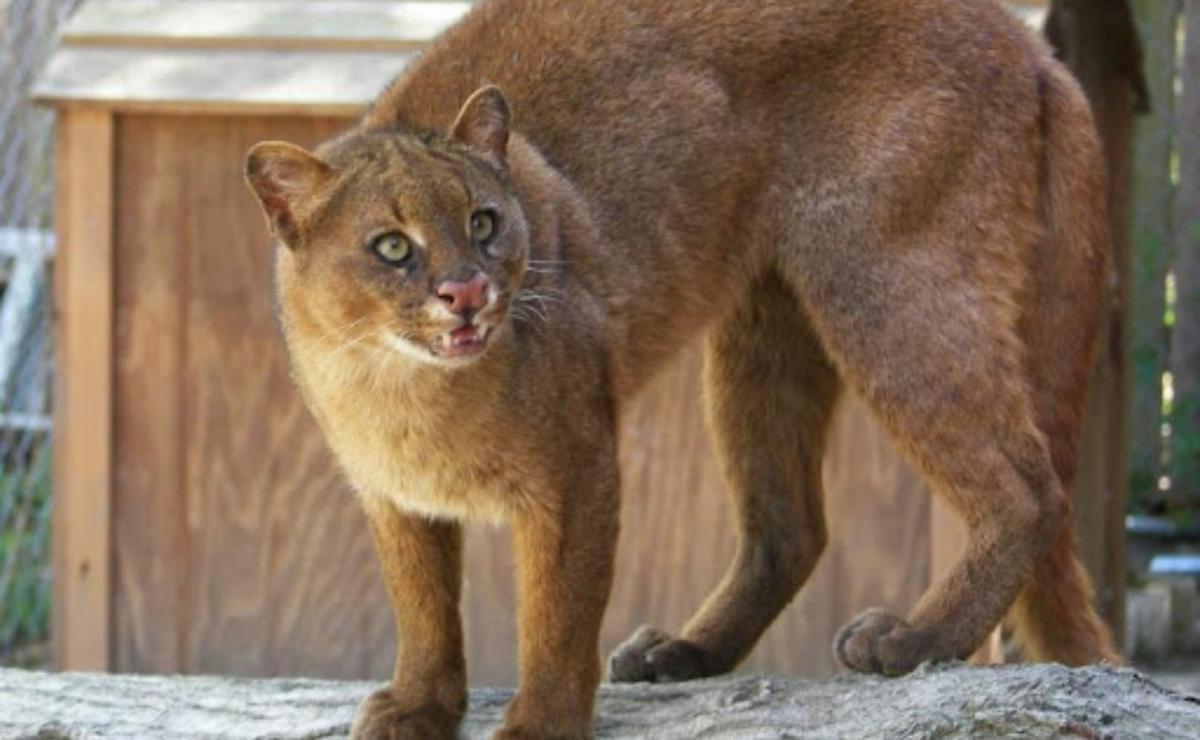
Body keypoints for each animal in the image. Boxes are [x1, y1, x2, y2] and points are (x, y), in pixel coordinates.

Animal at [243, 0, 1123, 734]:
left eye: (484, 222)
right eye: (392, 247)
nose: (466, 291)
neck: (402, 392)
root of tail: (1021, 36)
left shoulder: (576, 468)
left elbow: (557, 613)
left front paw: (540, 723)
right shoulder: (394, 496)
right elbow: (423, 608)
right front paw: (421, 706)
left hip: (881, 283)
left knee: (1029, 485)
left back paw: (914, 639)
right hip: (763, 328)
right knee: (792, 526)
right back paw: (687, 653)